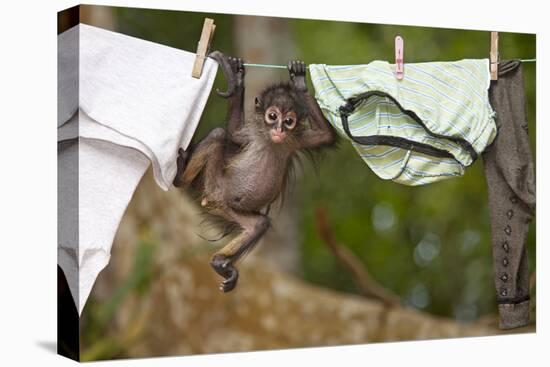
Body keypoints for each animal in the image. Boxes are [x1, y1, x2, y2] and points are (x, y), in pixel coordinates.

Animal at [175, 51, 338, 294]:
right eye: (272, 116)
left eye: (289, 121)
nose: (279, 129)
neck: (271, 140)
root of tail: (214, 198)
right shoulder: (251, 133)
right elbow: (233, 133)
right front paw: (237, 78)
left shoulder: (296, 140)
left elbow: (326, 135)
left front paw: (299, 82)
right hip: (216, 183)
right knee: (218, 134)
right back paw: (179, 178)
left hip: (230, 208)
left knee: (259, 225)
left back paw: (220, 263)